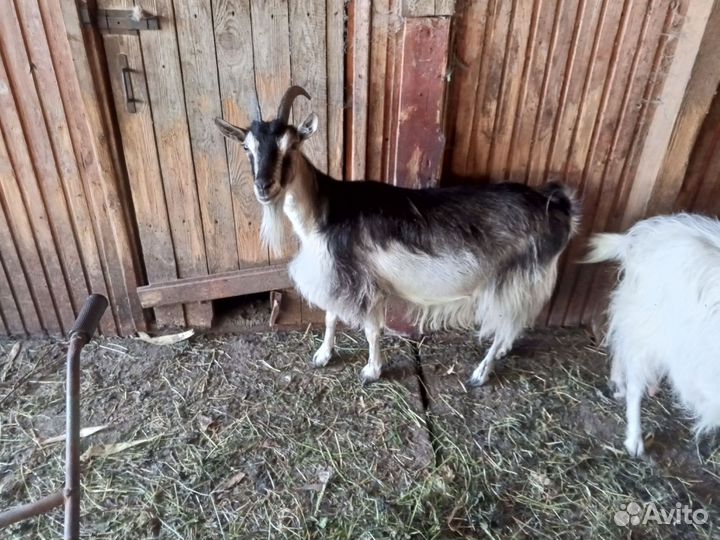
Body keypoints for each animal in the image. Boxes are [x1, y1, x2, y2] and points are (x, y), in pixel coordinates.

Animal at [215, 86, 580, 386]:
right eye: (246, 147)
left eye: (291, 145)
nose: (264, 187)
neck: (324, 211)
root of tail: (558, 207)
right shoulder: (336, 275)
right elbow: (331, 317)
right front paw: (322, 356)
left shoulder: (362, 282)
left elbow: (371, 330)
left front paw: (372, 371)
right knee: (515, 322)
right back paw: (502, 351)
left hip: (512, 279)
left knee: (506, 320)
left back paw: (481, 372)